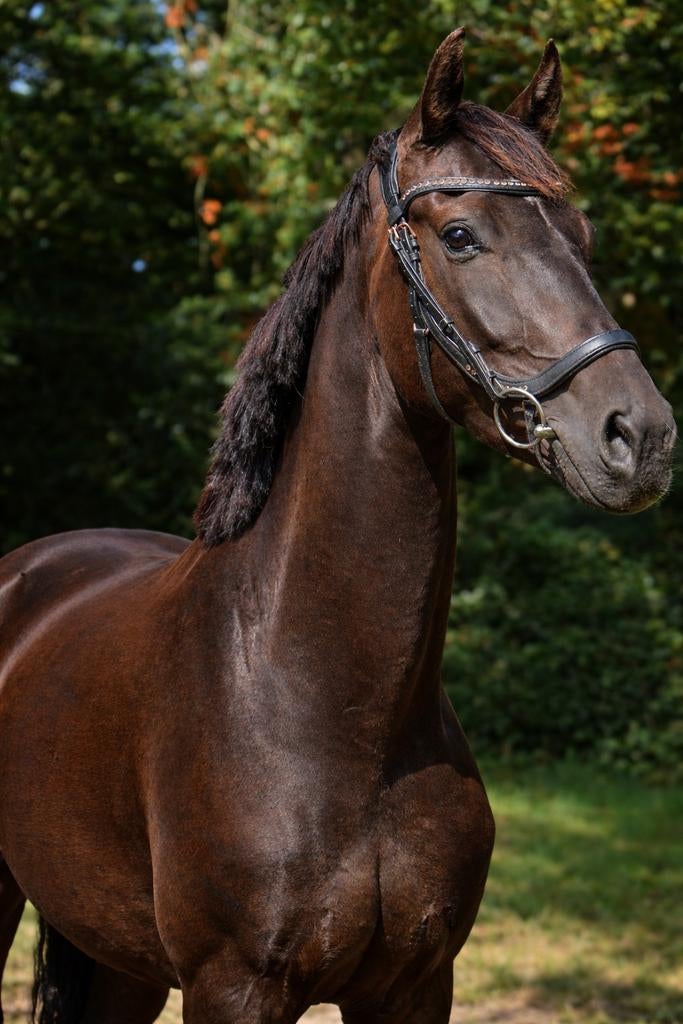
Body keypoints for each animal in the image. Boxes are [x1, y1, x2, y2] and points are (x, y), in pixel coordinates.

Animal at [0, 28, 676, 1024]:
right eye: (460, 236)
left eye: (581, 239)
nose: (640, 435)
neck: (334, 707)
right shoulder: (234, 988)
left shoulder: (416, 986)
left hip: (118, 958)